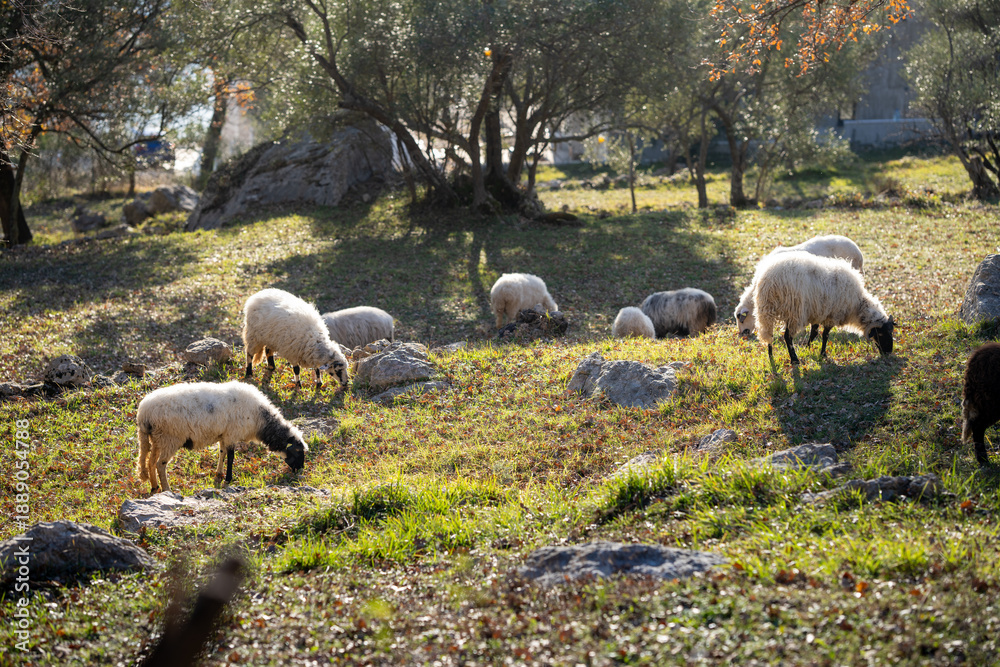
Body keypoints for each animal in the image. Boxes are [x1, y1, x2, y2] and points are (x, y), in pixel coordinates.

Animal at [136, 381, 307, 493]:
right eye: (298, 451)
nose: (300, 470)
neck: (260, 419)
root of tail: (144, 413)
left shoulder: (224, 435)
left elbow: (222, 454)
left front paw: (218, 476)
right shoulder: (232, 434)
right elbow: (231, 457)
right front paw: (228, 479)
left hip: (156, 439)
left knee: (150, 462)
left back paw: (154, 487)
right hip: (170, 438)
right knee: (160, 464)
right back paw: (167, 489)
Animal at [752, 251, 893, 365]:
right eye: (881, 334)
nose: (889, 352)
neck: (857, 305)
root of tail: (769, 280)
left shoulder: (817, 313)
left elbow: (814, 333)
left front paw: (808, 348)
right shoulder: (831, 315)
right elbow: (825, 335)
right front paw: (823, 354)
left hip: (765, 310)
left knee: (768, 334)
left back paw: (770, 355)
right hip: (794, 312)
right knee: (787, 337)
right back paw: (794, 359)